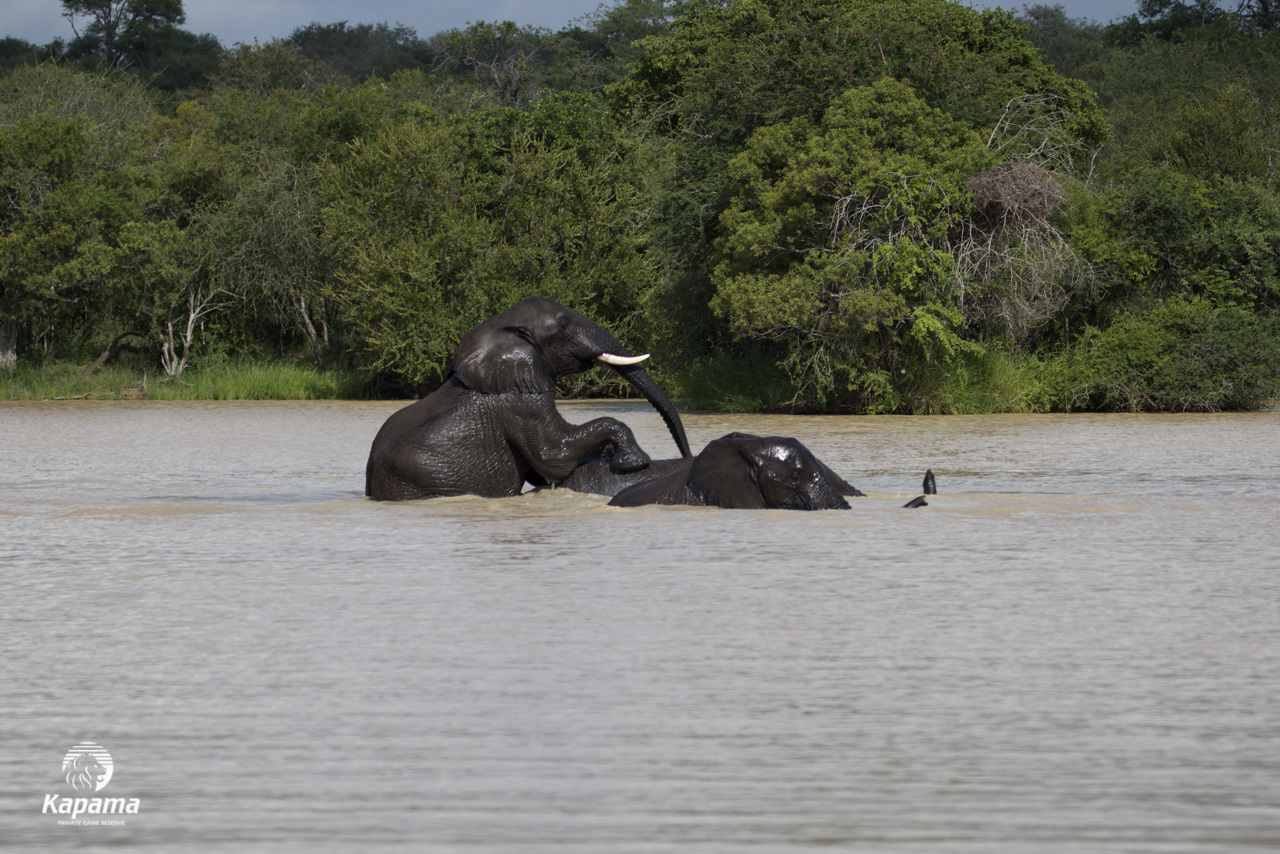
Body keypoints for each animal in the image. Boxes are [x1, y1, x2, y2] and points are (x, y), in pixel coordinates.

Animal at [365, 297, 692, 501]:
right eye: (563, 328)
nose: (688, 456)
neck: (502, 325)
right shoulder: (519, 399)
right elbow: (553, 456)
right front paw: (633, 462)